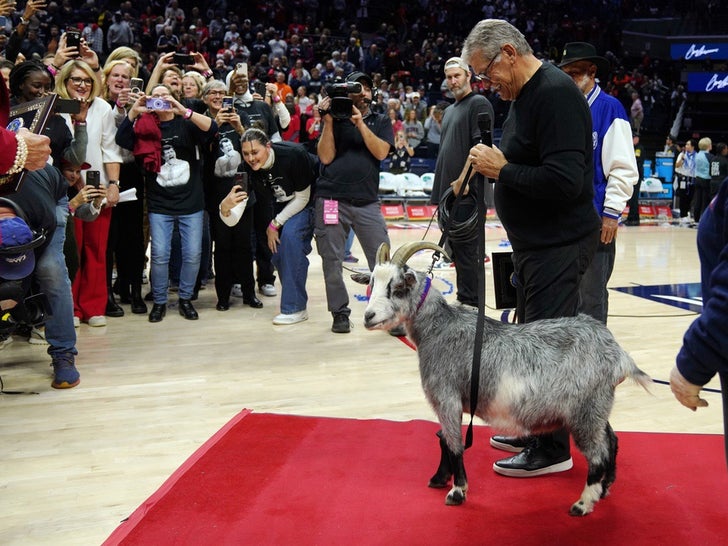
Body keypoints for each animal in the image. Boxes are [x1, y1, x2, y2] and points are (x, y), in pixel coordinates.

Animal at [352, 241, 656, 516]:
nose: (369, 316)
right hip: (597, 406)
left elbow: (453, 444)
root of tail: (619, 356)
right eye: (371, 285)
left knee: (598, 455)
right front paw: (440, 479)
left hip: (584, 412)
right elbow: (443, 439)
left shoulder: (446, 397)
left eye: (397, 288)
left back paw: (583, 503)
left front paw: (457, 491)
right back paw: (605, 488)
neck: (439, 329)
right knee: (612, 440)